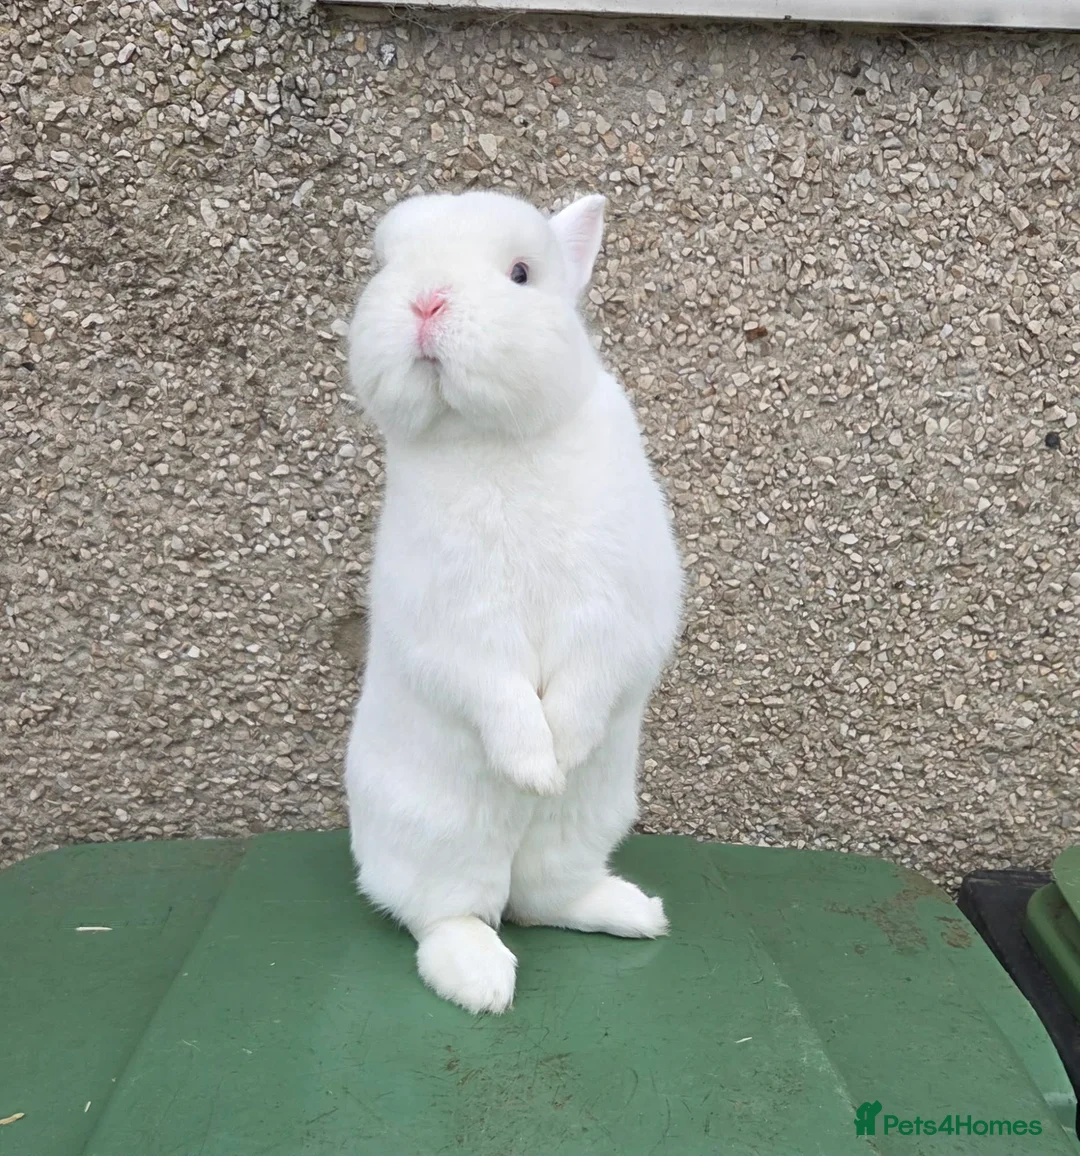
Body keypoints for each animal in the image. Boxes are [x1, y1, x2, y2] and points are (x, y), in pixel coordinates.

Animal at [343, 189, 683, 1014]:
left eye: (521, 273)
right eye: (385, 265)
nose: (425, 300)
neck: (493, 436)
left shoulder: (615, 606)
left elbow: (589, 678)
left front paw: (561, 755)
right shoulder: (457, 622)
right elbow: (493, 687)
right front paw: (534, 767)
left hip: (587, 821)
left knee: (542, 898)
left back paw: (632, 913)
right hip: (437, 834)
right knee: (448, 912)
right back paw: (480, 980)